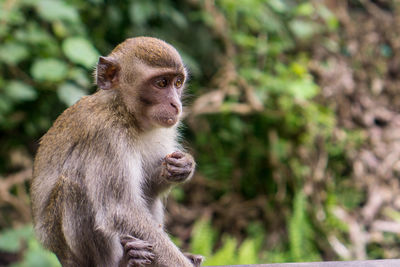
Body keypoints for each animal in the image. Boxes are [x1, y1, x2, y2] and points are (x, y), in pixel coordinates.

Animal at [31, 37, 205, 267]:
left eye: (177, 83)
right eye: (161, 83)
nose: (176, 105)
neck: (124, 112)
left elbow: (148, 187)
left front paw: (183, 166)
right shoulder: (106, 136)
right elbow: (120, 208)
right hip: (68, 250)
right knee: (73, 185)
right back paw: (120, 262)